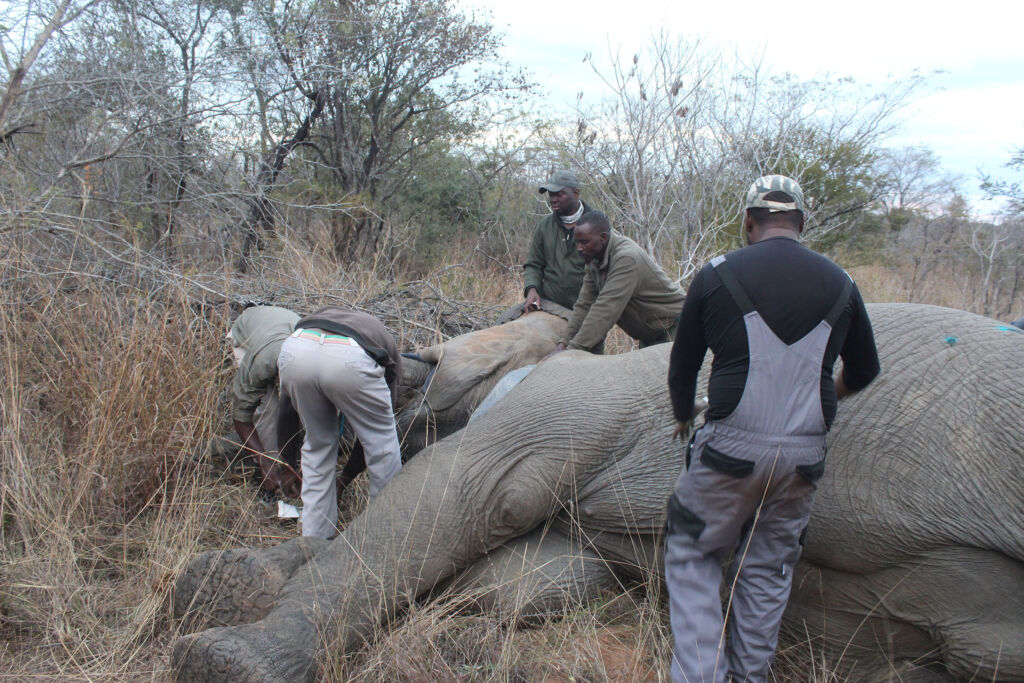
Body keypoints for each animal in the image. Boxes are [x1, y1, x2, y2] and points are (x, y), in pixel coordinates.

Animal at [172, 305, 1019, 683]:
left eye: (420, 371)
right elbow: (530, 576)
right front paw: (216, 584)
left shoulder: (565, 402)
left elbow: (455, 492)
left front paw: (223, 657)